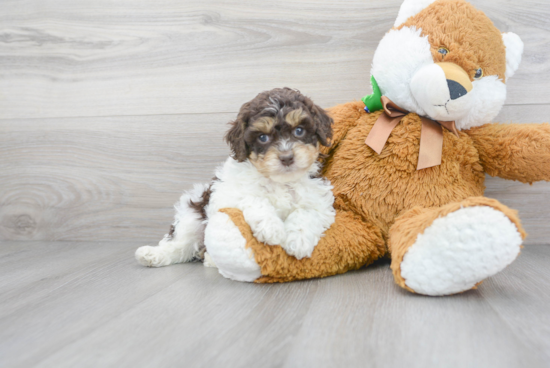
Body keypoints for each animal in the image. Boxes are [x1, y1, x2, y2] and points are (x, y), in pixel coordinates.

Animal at [137, 88, 336, 274]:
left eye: (299, 130)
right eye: (262, 137)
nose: (287, 158)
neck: (279, 180)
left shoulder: (319, 198)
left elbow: (306, 212)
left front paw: (298, 240)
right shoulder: (226, 193)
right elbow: (253, 198)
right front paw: (271, 228)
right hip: (193, 213)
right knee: (181, 244)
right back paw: (152, 254)